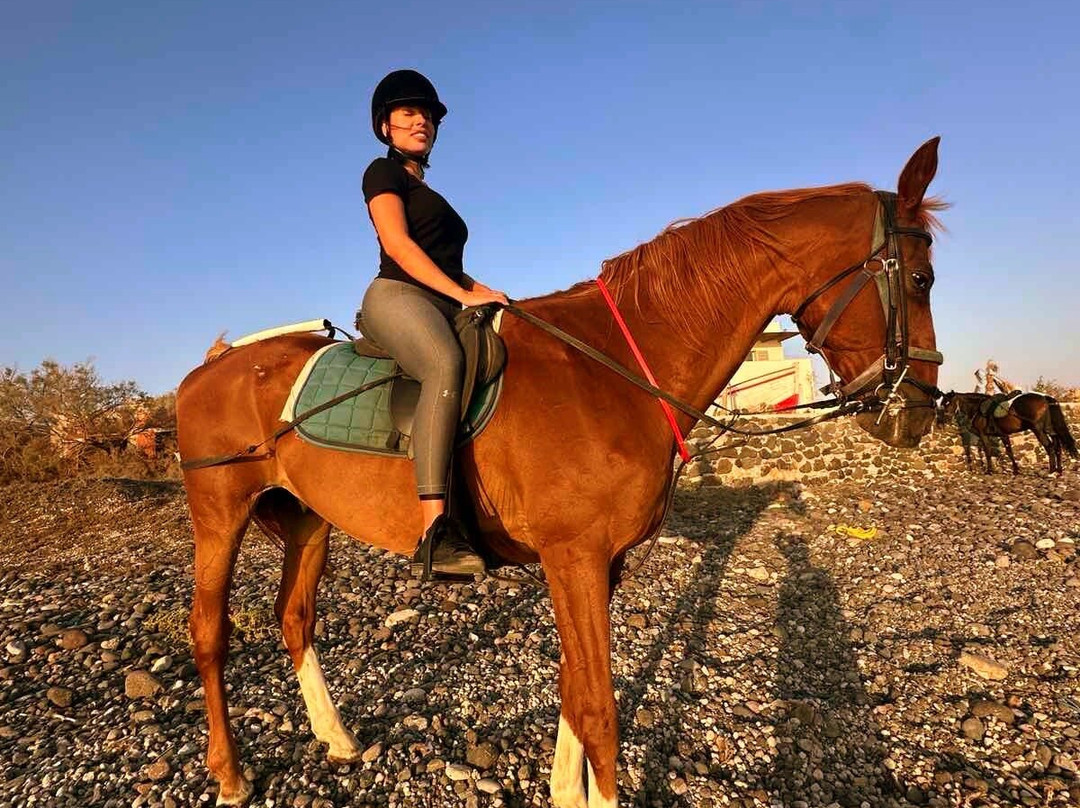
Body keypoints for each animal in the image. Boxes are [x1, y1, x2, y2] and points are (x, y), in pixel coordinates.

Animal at [176, 137, 945, 807]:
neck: (616, 367)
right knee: (209, 635)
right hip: (220, 514)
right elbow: (600, 709)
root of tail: (208, 370)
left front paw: (564, 792)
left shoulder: (598, 563)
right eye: (920, 278)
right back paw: (230, 776)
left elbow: (575, 690)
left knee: (294, 617)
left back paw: (335, 739)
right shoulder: (573, 556)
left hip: (307, 519)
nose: (918, 413)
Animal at [940, 391, 1078, 474]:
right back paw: (1059, 470)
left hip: (1038, 430)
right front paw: (1016, 470)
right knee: (1057, 446)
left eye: (948, 402)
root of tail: (1044, 398)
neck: (978, 409)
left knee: (1049, 446)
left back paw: (1051, 470)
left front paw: (989, 470)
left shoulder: (984, 435)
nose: (944, 419)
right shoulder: (1002, 434)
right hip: (1050, 429)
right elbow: (1009, 452)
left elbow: (988, 451)